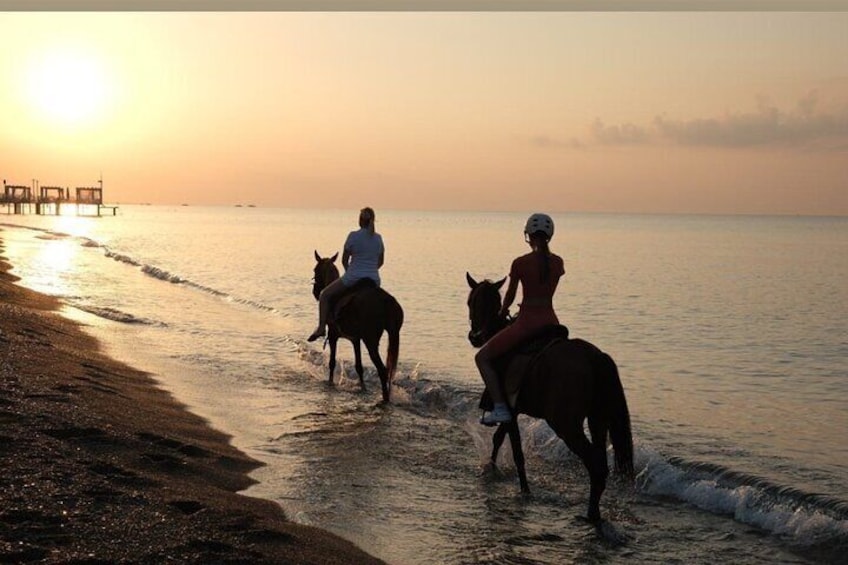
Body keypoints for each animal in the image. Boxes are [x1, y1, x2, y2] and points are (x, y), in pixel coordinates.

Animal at [312, 250, 404, 400]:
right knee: (388, 371)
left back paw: (385, 398)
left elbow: (332, 362)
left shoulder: (333, 335)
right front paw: (363, 388)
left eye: (315, 269)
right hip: (390, 335)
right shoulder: (355, 339)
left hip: (370, 340)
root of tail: (386, 300)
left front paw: (330, 383)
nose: (315, 292)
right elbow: (359, 366)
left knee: (382, 370)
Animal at [468, 270, 632, 524]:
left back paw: (590, 514)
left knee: (594, 463)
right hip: (598, 420)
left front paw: (524, 490)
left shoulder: (509, 407)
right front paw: (492, 468)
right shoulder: (512, 408)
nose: (475, 337)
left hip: (566, 425)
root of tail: (595, 357)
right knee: (601, 463)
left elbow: (517, 452)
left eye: (471, 301)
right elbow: (498, 438)